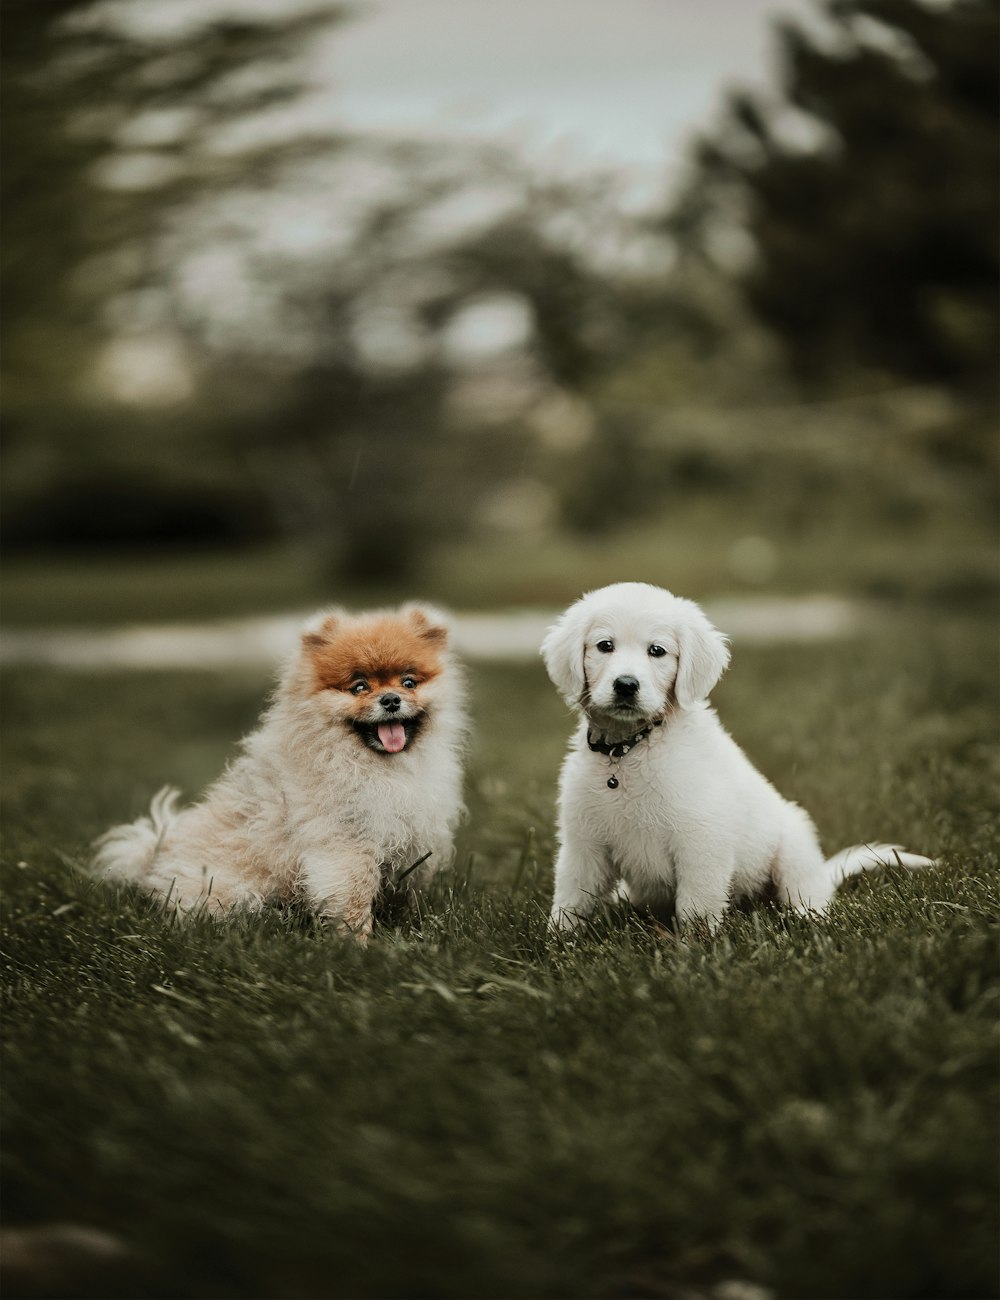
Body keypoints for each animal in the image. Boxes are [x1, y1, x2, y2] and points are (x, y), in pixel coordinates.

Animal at [93, 603, 462, 941]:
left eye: (409, 682)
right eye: (359, 687)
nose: (391, 699)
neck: (374, 765)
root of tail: (156, 860)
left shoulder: (412, 837)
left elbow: (406, 888)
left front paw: (404, 925)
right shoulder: (345, 842)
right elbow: (353, 894)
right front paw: (357, 941)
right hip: (232, 890)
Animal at [540, 585, 931, 930]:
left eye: (657, 651)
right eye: (605, 645)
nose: (625, 685)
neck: (630, 749)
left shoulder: (703, 837)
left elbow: (696, 906)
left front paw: (694, 950)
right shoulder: (583, 844)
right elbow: (571, 900)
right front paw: (559, 944)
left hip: (793, 845)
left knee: (806, 894)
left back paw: (807, 919)